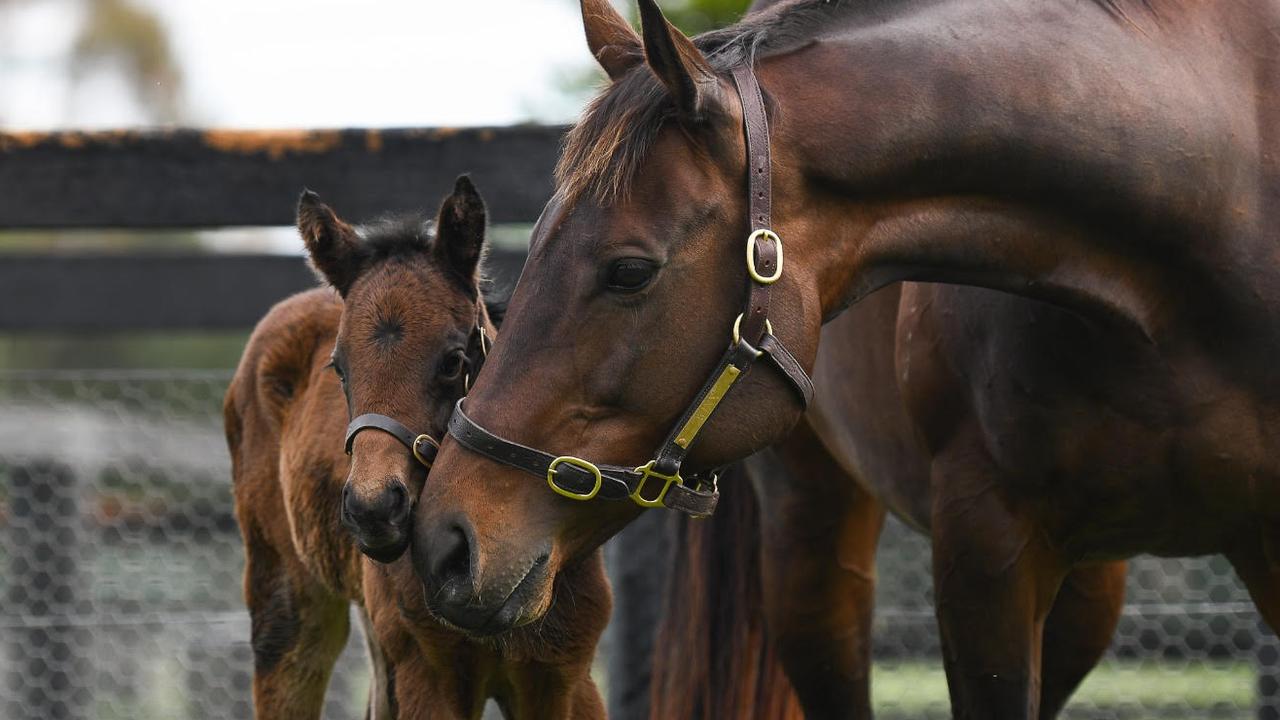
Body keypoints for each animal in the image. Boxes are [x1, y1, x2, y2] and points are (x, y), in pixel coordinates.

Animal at [225, 176, 609, 712]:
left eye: (453, 360)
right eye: (339, 367)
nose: (373, 508)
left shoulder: (562, 676)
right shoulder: (425, 671)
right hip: (288, 605)